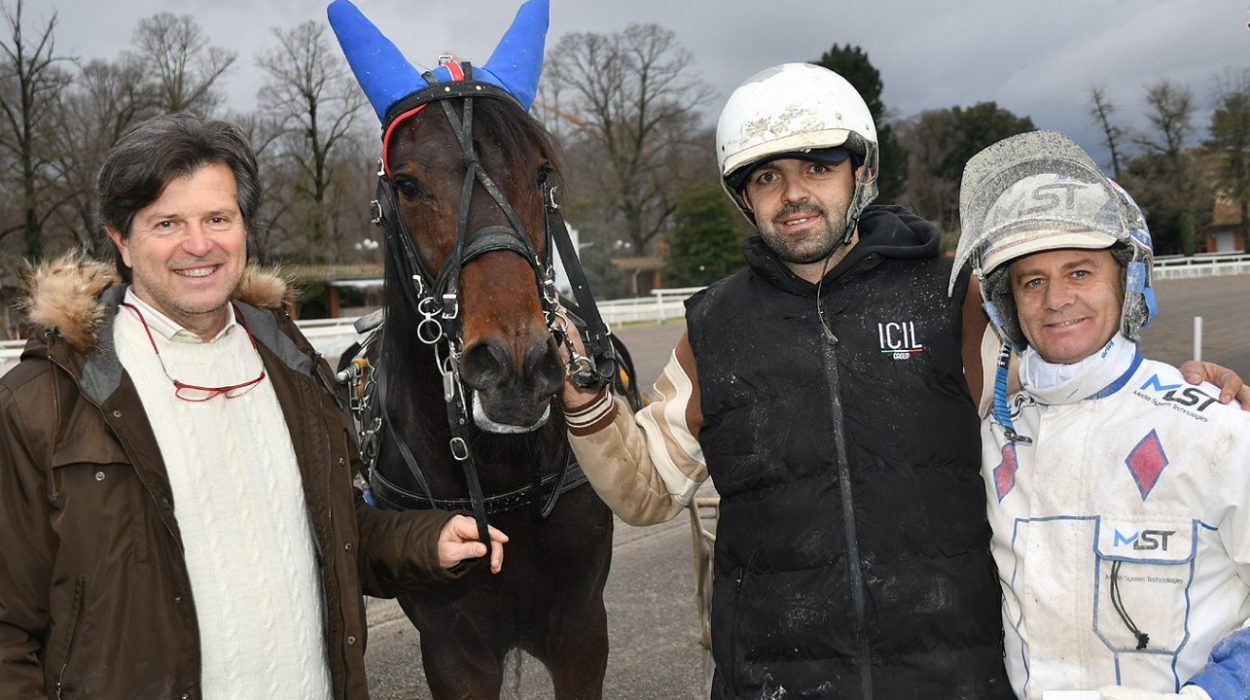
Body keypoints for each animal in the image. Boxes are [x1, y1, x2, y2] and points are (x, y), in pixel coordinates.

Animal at [328, 1, 616, 697]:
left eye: (541, 173)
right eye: (407, 185)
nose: (516, 367)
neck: (500, 470)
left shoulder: (581, 629)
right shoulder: (452, 649)